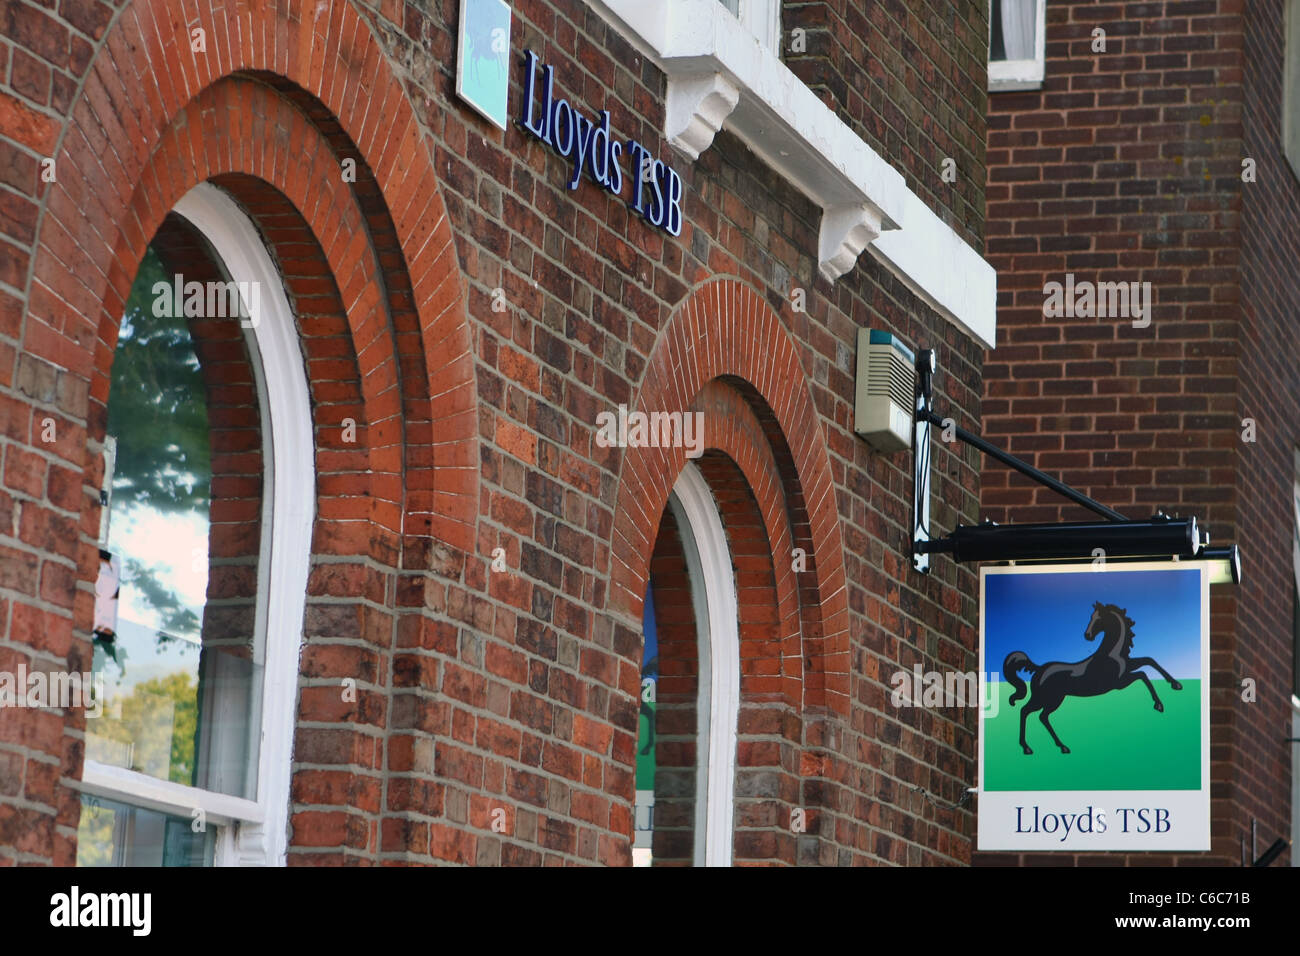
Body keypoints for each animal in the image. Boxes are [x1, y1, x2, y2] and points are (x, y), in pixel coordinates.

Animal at [998, 606, 1185, 754]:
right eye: (1091, 617)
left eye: (1098, 618)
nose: (1087, 635)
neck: (1111, 653)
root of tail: (1039, 669)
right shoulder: (1119, 683)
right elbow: (1143, 675)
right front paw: (1159, 704)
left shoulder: (1128, 667)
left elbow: (1149, 660)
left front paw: (1175, 684)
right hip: (1046, 698)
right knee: (1026, 711)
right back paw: (1028, 747)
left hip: (1053, 699)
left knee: (1042, 717)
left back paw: (1061, 746)